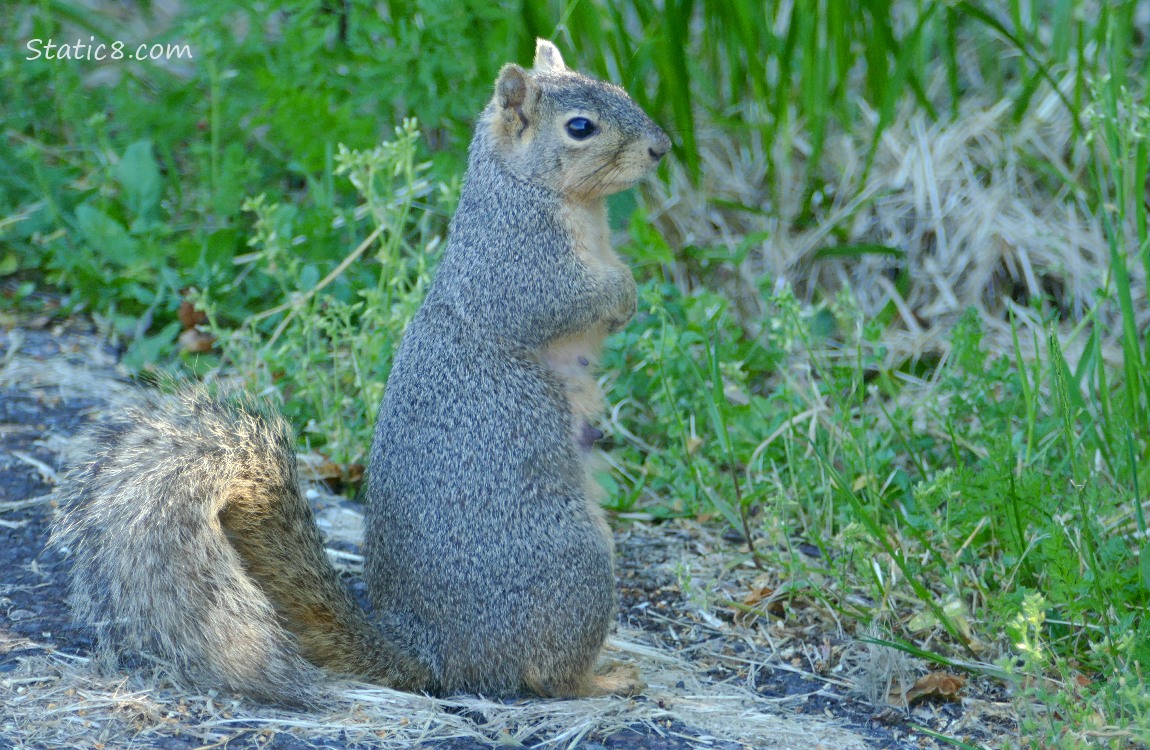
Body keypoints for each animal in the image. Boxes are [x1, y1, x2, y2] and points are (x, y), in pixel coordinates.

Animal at [49, 39, 671, 708]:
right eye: (580, 127)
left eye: (618, 88)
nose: (662, 147)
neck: (544, 195)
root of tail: (436, 655)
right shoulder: (517, 268)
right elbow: (566, 302)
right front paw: (627, 294)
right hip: (574, 564)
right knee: (549, 676)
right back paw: (605, 678)